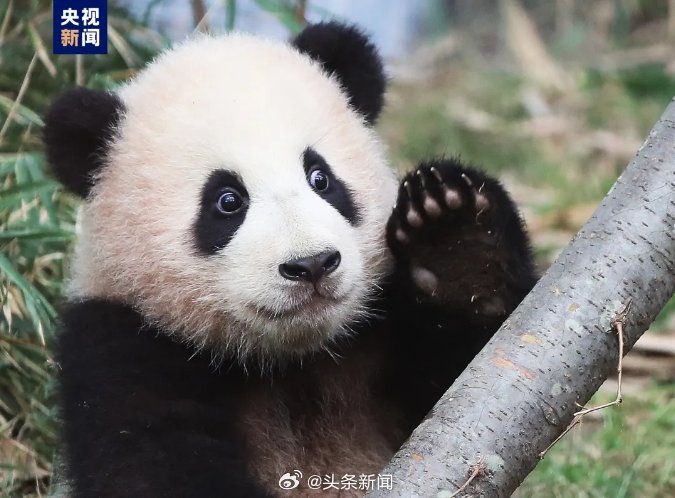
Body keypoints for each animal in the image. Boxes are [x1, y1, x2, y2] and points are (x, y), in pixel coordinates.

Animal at [44, 22, 537, 498]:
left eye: (320, 178)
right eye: (227, 201)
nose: (312, 264)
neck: (291, 361)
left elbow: (462, 391)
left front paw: (456, 241)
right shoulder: (119, 344)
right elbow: (153, 464)